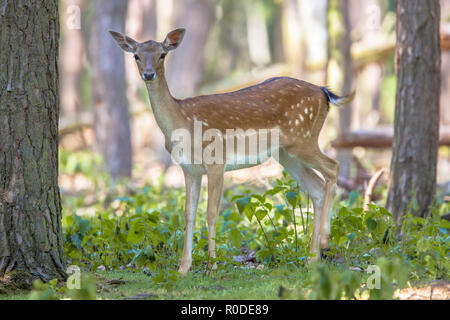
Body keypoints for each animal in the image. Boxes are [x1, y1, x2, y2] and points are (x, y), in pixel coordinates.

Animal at [110, 27, 356, 274]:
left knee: (333, 167)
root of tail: (324, 92)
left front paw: (211, 266)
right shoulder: (189, 169)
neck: (182, 123)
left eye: (162, 54)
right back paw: (312, 258)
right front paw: (183, 268)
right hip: (287, 154)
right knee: (317, 188)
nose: (148, 74)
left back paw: (324, 241)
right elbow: (189, 214)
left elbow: (211, 213)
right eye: (136, 56)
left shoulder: (216, 160)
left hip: (303, 139)